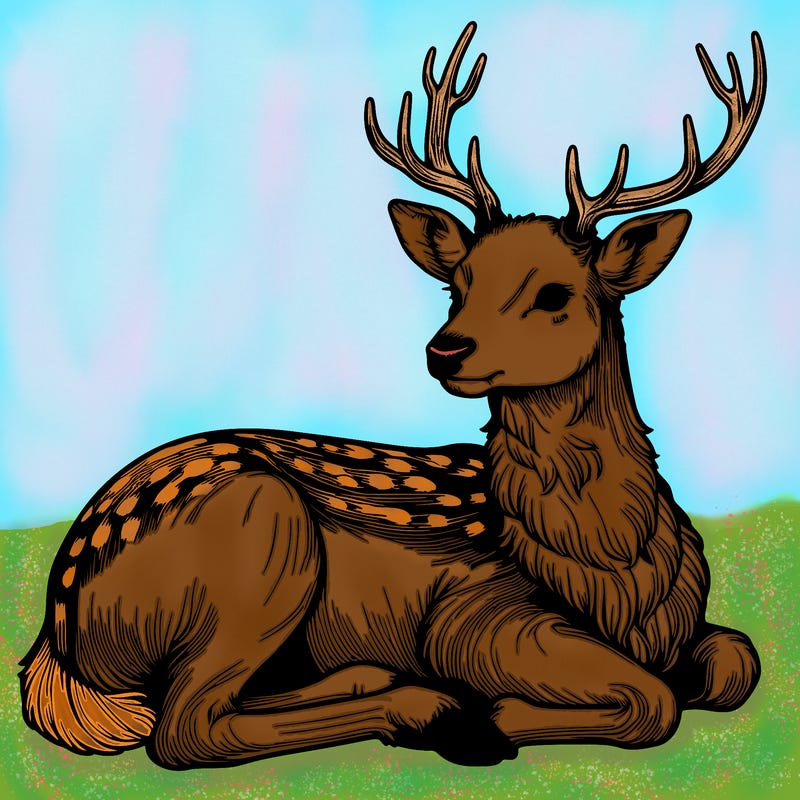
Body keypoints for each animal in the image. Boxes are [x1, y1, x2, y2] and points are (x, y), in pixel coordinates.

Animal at [20, 22, 765, 769]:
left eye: (555, 293)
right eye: (457, 283)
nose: (445, 349)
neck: (615, 575)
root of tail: (55, 635)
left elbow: (737, 660)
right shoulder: (473, 615)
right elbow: (654, 699)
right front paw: (494, 716)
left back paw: (375, 678)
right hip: (262, 539)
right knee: (183, 727)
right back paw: (434, 711)